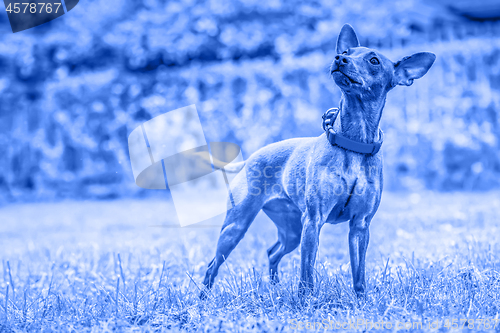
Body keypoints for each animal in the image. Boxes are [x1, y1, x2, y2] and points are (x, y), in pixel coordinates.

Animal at [199, 24, 434, 296]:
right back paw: (204, 298)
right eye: (347, 51)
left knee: (272, 252)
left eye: (374, 60)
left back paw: (275, 287)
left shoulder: (360, 226)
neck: (354, 143)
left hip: (291, 230)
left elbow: (359, 274)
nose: (339, 59)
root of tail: (251, 158)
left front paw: (361, 299)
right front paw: (306, 300)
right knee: (213, 265)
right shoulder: (313, 221)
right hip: (237, 226)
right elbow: (307, 273)